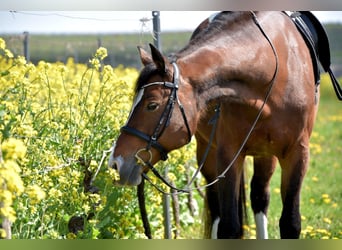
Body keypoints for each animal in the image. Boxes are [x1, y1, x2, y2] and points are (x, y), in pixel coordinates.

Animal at [108, 11, 320, 238]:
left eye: (152, 105)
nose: (115, 163)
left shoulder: (297, 153)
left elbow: (290, 223)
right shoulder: (228, 154)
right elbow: (229, 226)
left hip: (265, 154)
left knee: (259, 197)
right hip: (208, 153)